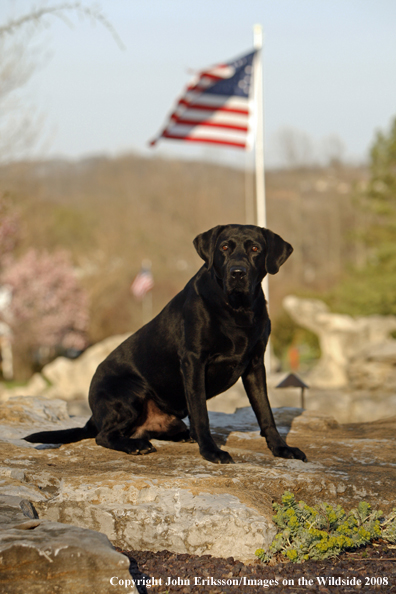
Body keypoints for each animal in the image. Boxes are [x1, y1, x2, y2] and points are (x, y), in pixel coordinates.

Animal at [26, 222, 308, 462]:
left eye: (255, 249)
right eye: (225, 248)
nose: (237, 273)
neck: (236, 308)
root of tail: (94, 415)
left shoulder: (255, 364)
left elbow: (265, 412)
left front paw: (282, 448)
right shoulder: (194, 361)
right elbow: (202, 413)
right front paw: (211, 451)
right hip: (128, 393)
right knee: (104, 436)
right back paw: (136, 445)